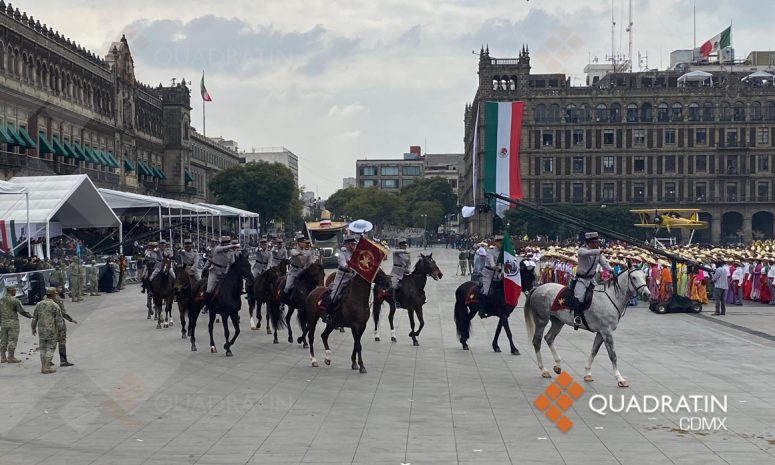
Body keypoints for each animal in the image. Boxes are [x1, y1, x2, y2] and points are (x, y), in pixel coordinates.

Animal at [524, 266, 652, 386]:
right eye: (634, 277)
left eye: (645, 276)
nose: (647, 294)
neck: (611, 298)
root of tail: (538, 288)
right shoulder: (607, 332)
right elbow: (612, 355)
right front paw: (619, 378)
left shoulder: (601, 332)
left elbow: (594, 351)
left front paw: (587, 373)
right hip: (541, 321)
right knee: (537, 341)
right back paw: (543, 370)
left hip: (558, 322)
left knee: (549, 338)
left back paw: (558, 364)